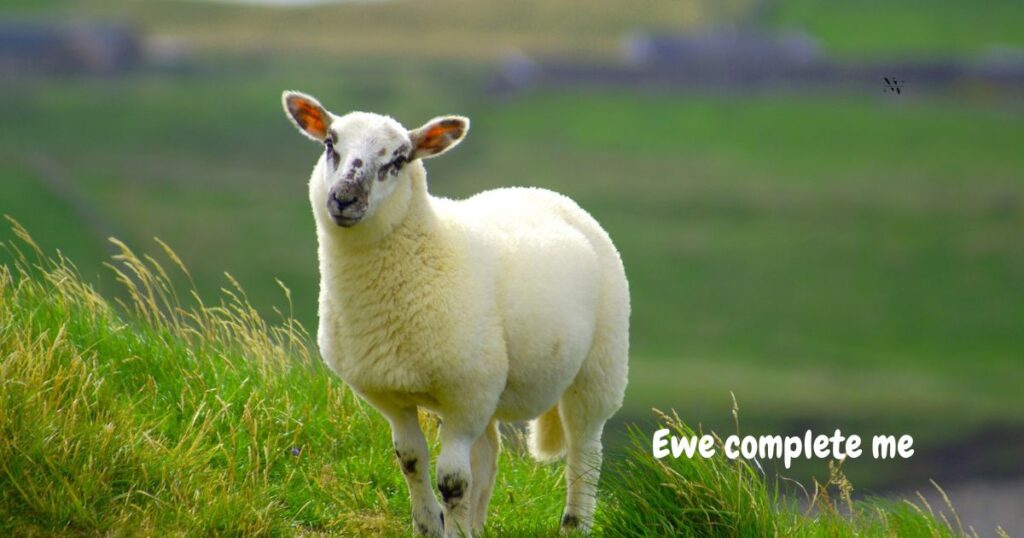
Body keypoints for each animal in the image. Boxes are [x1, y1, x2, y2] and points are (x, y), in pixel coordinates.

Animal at [281, 90, 629, 537]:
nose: (343, 198)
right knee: (489, 456)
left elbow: (453, 481)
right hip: (496, 387)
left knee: (585, 453)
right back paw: (478, 525)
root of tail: (546, 193)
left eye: (399, 159)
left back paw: (574, 524)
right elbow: (412, 461)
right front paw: (429, 526)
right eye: (330, 144)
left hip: (598, 369)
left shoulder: (466, 395)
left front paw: (452, 525)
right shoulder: (393, 396)